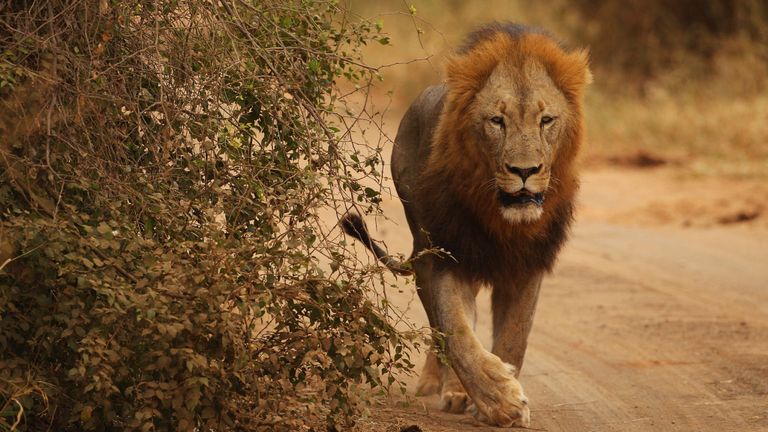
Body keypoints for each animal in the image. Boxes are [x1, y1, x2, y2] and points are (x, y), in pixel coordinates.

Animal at [341, 23, 591, 427]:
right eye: (497, 121)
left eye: (546, 120)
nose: (524, 171)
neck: (501, 220)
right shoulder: (445, 256)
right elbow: (455, 331)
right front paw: (500, 400)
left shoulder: (527, 265)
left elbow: (515, 336)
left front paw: (502, 398)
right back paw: (450, 388)